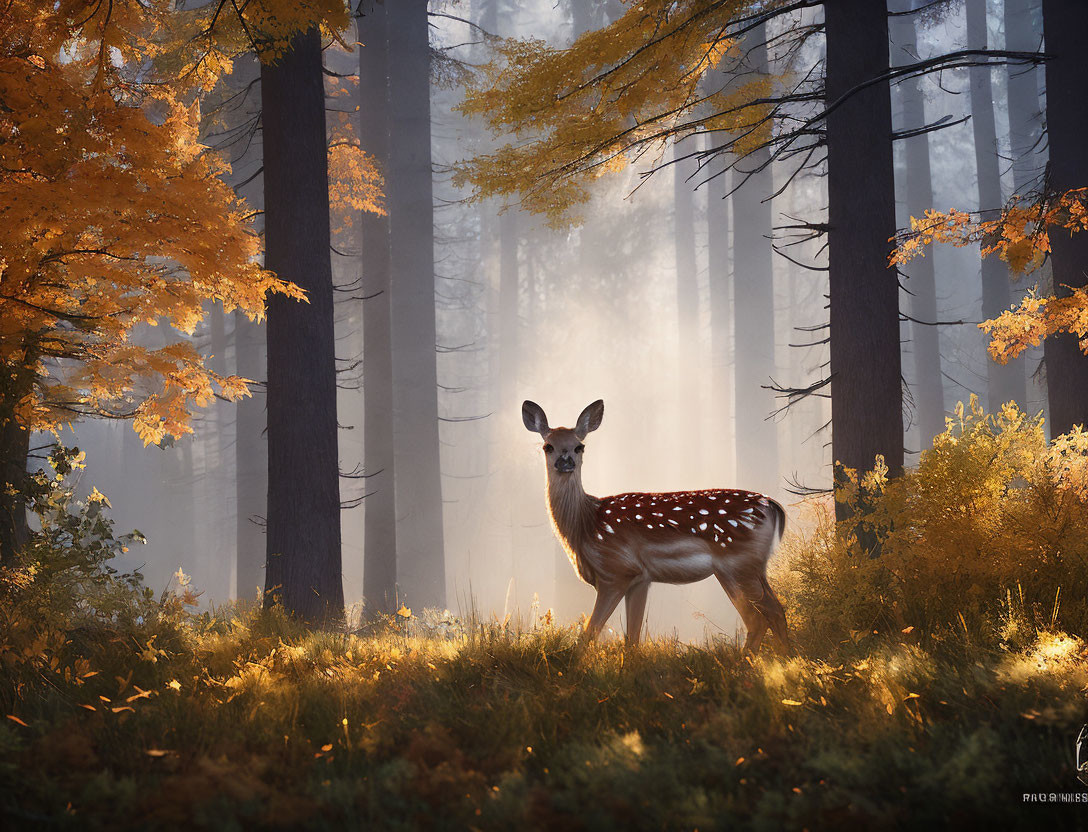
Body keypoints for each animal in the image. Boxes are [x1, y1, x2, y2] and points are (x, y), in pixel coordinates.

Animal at [520, 398, 792, 656]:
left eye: (580, 446)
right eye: (548, 446)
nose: (565, 462)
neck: (585, 524)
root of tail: (773, 506)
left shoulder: (616, 571)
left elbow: (589, 633)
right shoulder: (641, 578)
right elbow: (632, 638)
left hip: (735, 565)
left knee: (757, 619)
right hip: (754, 567)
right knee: (777, 610)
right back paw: (787, 658)